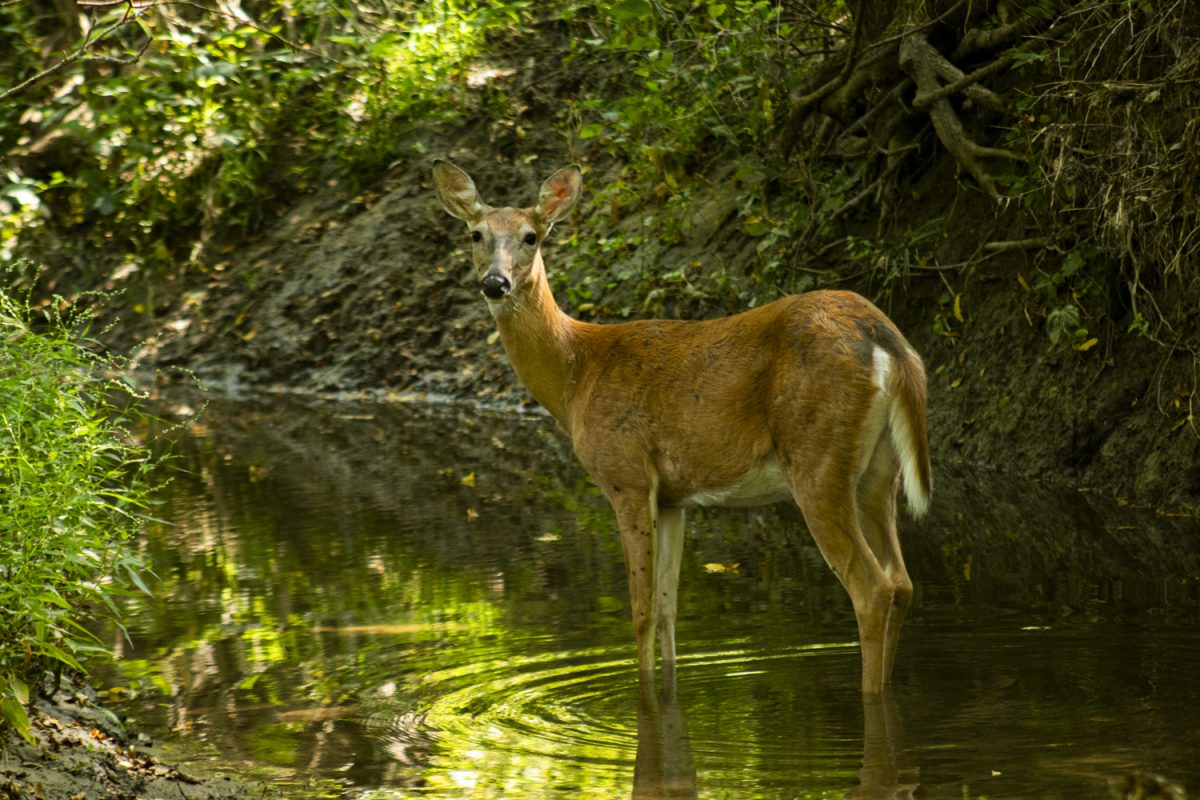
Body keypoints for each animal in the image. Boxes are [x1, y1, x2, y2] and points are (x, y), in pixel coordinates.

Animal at [436, 158, 931, 695]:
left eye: (531, 236)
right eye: (475, 234)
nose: (495, 283)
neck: (578, 373)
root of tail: (887, 340)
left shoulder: (626, 475)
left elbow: (640, 612)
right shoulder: (675, 498)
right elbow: (668, 611)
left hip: (817, 458)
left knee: (871, 588)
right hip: (878, 472)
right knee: (901, 581)